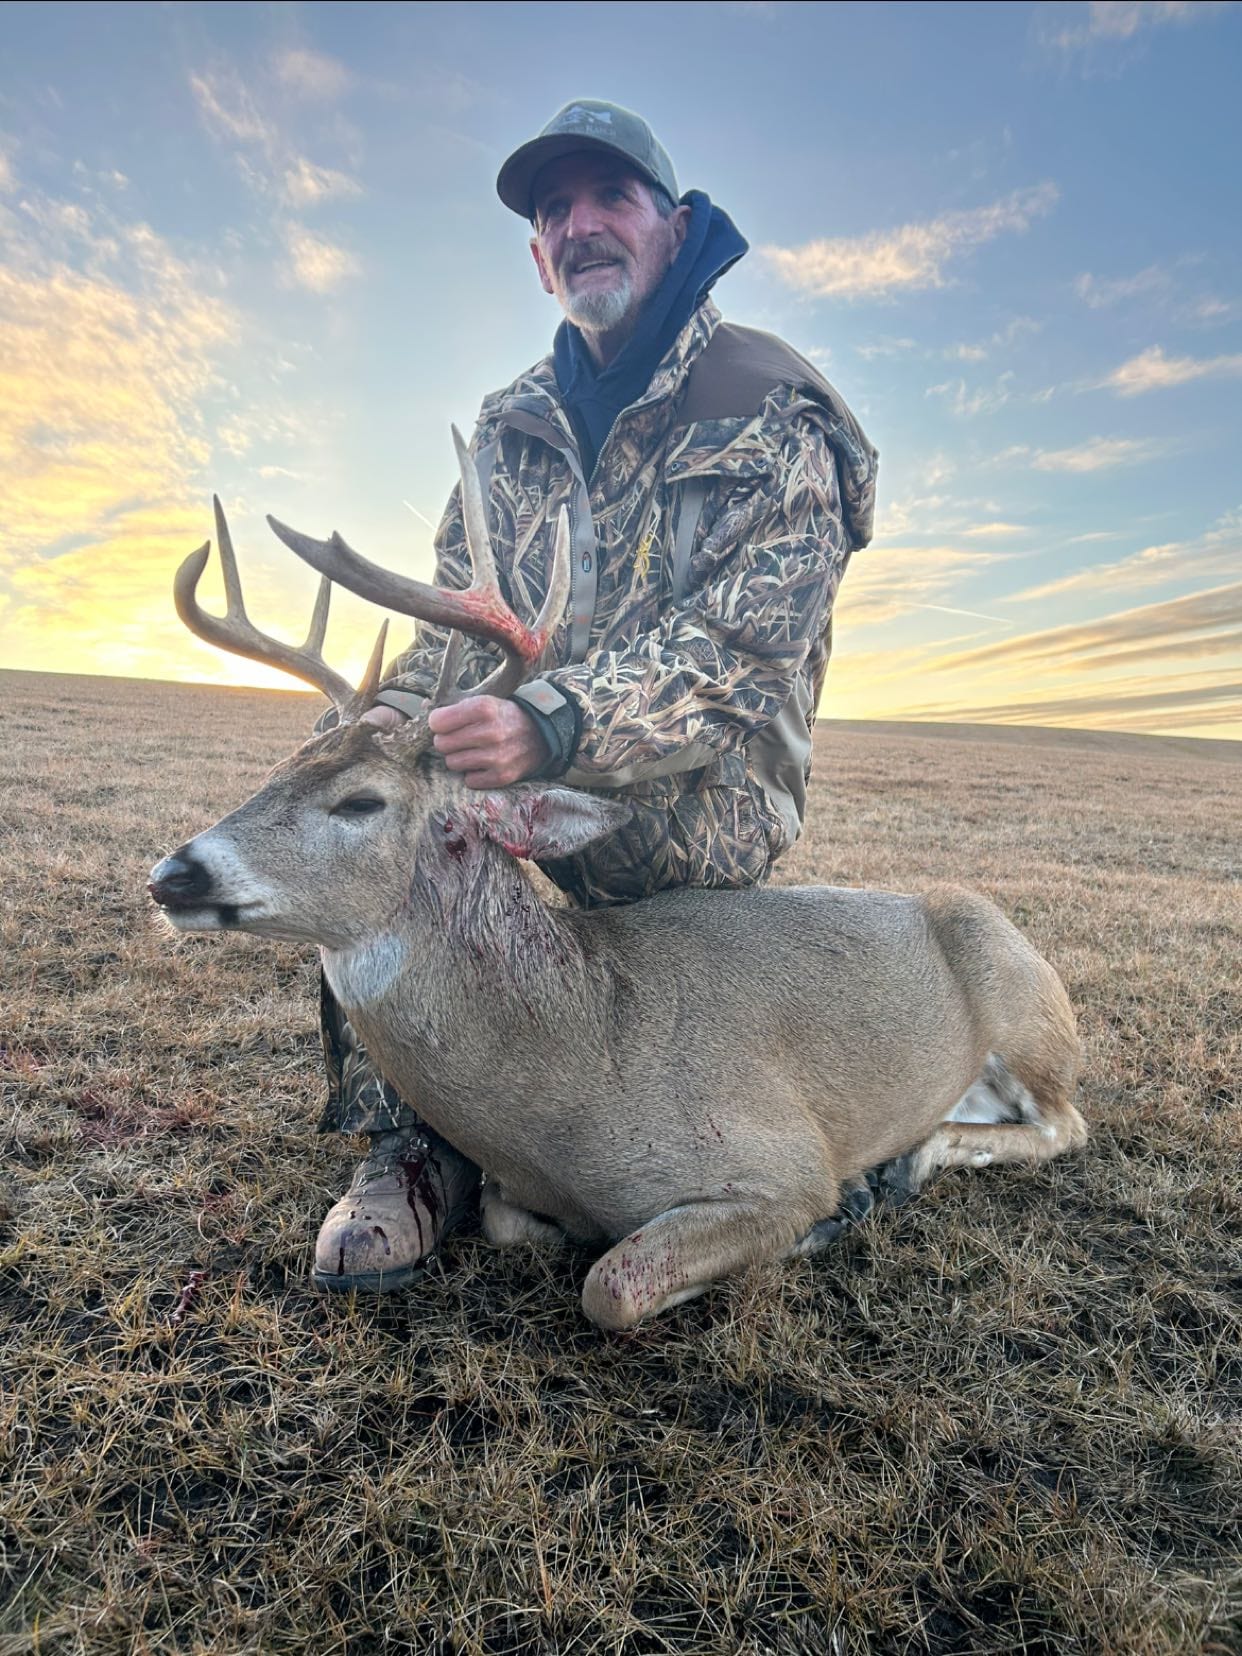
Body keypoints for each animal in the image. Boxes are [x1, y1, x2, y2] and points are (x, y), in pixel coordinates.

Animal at [149, 432, 1087, 1331]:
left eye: (360, 802)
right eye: (276, 771)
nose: (171, 873)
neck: (585, 1061)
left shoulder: (779, 1159)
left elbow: (613, 1283)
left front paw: (835, 1212)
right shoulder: (521, 1192)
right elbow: (507, 1221)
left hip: (1023, 1006)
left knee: (1064, 1122)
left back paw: (911, 1159)